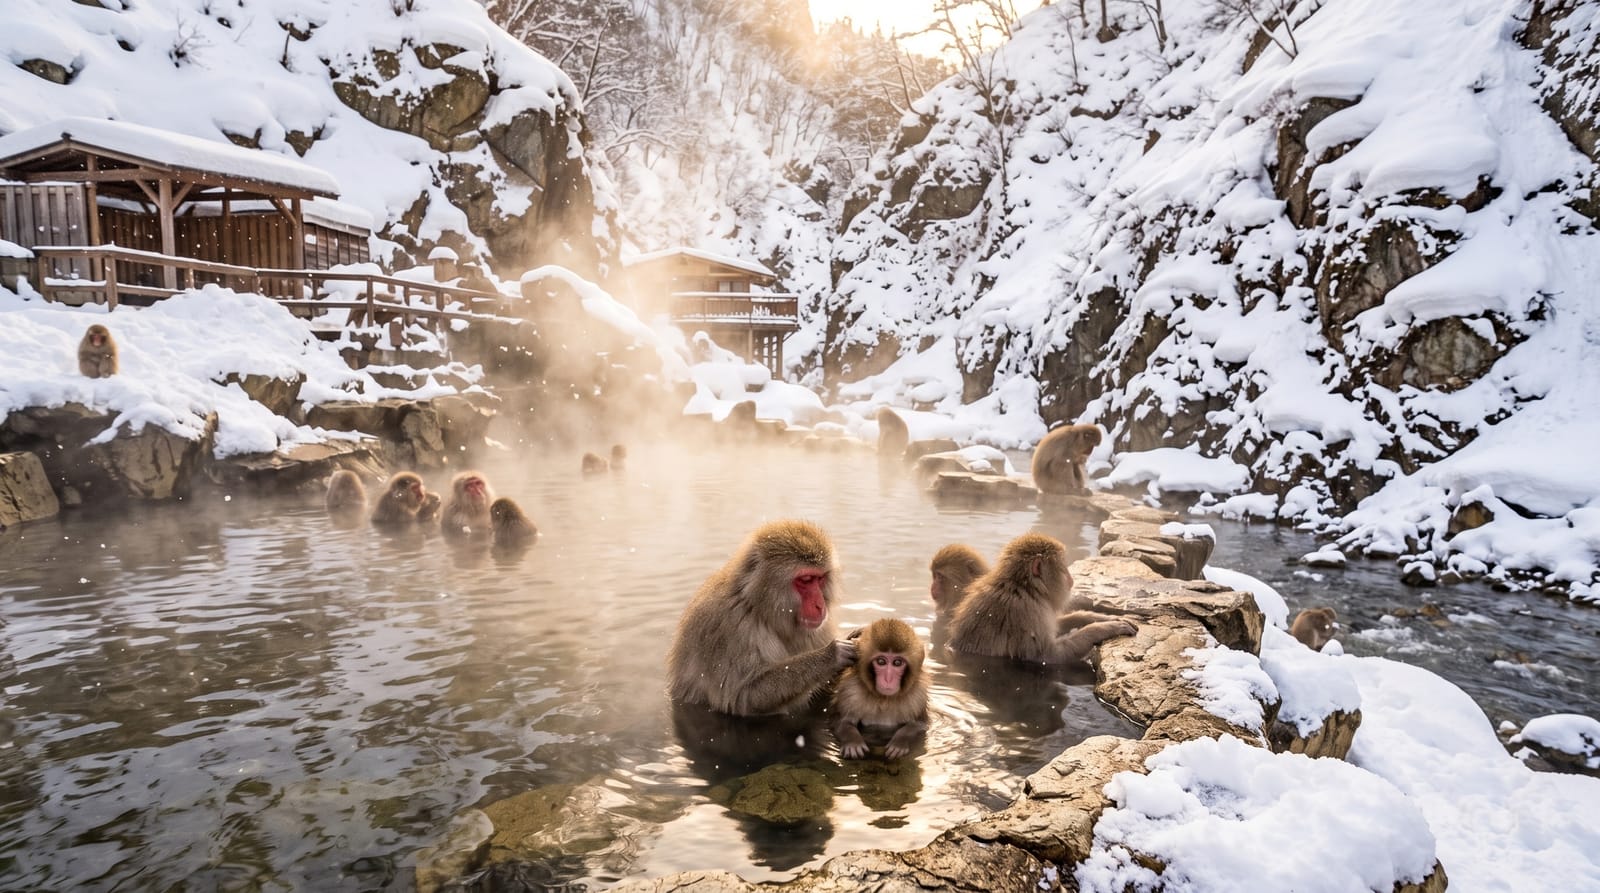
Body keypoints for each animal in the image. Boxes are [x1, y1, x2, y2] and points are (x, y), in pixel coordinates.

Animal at [667, 520, 859, 716]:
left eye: (820, 579)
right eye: (806, 580)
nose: (820, 605)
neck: (758, 607)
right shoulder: (731, 628)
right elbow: (741, 697)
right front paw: (831, 655)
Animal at [831, 618, 929, 759]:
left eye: (897, 663)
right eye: (881, 661)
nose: (888, 679)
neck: (884, 699)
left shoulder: (918, 697)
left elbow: (919, 726)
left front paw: (900, 742)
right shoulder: (850, 692)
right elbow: (840, 721)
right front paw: (853, 742)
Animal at [946, 533, 1136, 665]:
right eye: (1063, 568)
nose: (1071, 579)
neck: (1024, 588)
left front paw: (1097, 617)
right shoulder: (1026, 612)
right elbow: (1046, 656)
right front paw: (1105, 628)